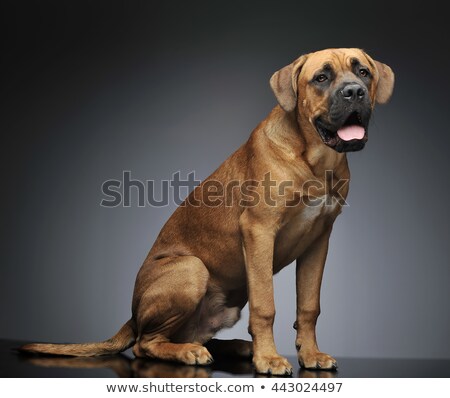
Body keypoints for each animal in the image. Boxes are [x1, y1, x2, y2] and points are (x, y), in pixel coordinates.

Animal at [21, 48, 394, 374]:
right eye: (321, 78)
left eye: (363, 72)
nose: (354, 92)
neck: (315, 159)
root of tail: (132, 313)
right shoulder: (259, 232)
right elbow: (265, 305)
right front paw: (268, 359)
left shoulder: (318, 241)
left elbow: (309, 306)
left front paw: (310, 354)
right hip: (191, 269)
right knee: (145, 343)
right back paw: (190, 352)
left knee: (191, 336)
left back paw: (235, 347)